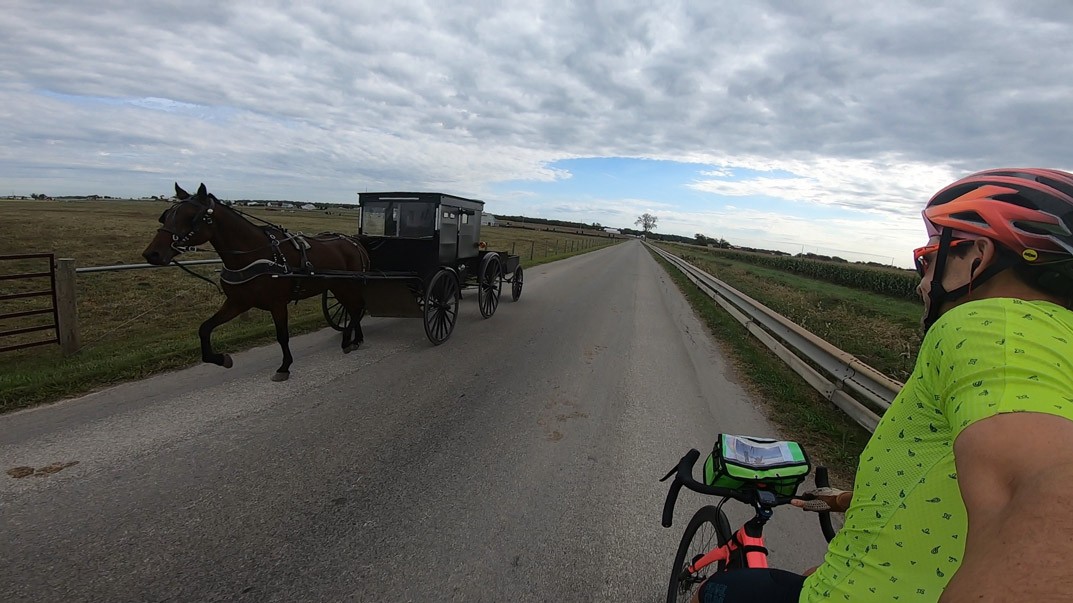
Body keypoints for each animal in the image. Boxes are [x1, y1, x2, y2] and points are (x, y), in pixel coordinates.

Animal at [142, 182, 369, 379]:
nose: (152, 254)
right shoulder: (238, 302)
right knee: (354, 309)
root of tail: (352, 242)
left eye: (190, 217)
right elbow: (205, 328)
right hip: (338, 286)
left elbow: (282, 336)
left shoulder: (278, 304)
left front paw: (284, 366)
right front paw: (221, 359)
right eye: (166, 216)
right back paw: (355, 338)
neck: (256, 254)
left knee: (357, 308)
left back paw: (349, 340)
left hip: (347, 285)